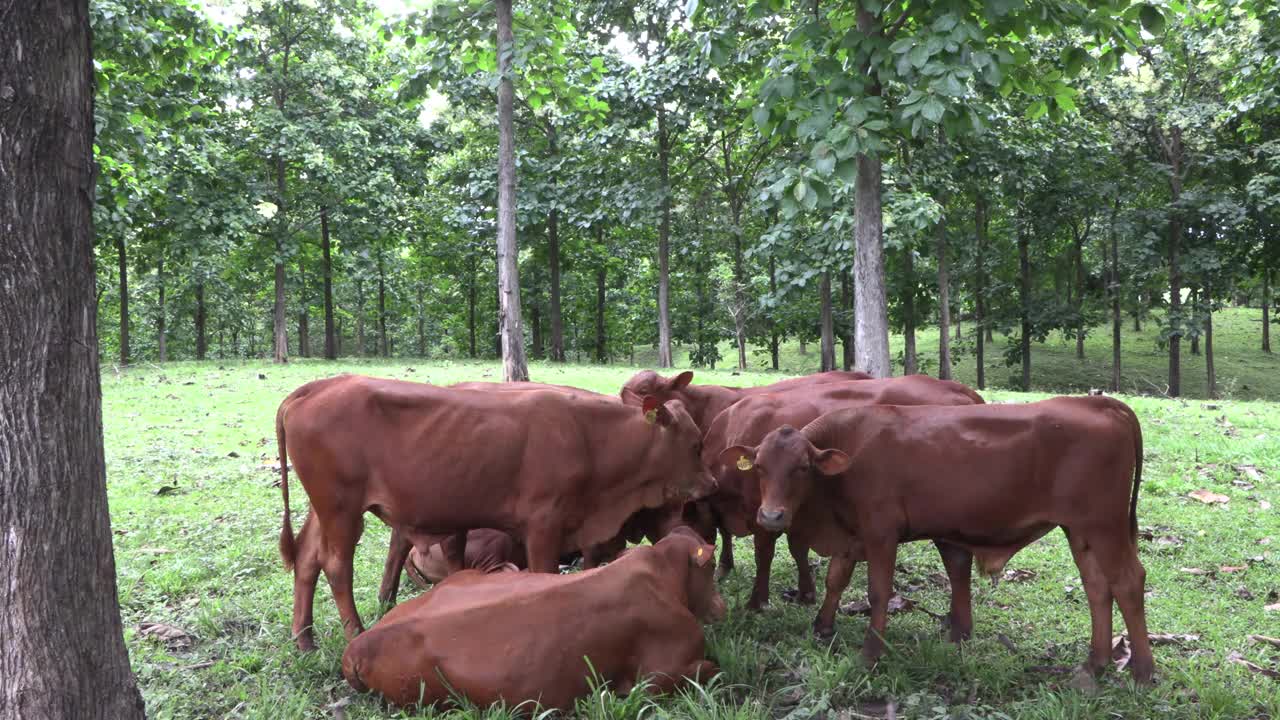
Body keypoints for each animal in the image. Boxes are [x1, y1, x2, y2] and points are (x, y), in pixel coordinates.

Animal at [279, 371, 716, 648]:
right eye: (696, 444)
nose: (711, 485)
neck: (591, 437)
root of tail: (317, 387)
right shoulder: (543, 524)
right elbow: (544, 574)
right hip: (342, 509)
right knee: (336, 565)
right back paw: (354, 633)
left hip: (325, 509)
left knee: (307, 559)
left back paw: (304, 638)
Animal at [340, 525, 727, 707]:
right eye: (709, 568)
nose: (721, 606)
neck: (661, 574)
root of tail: (359, 644)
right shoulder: (660, 674)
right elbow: (713, 668)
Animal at [701, 371, 977, 635]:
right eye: (758, 466)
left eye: (804, 468)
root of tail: (960, 389)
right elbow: (791, 547)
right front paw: (804, 592)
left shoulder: (767, 516)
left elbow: (765, 554)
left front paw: (757, 601)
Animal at [721, 394, 1152, 681]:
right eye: (759, 467)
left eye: (801, 467)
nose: (771, 515)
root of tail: (1100, 403)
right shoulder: (853, 533)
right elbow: (835, 579)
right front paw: (823, 626)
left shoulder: (880, 532)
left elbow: (878, 592)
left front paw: (870, 653)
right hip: (1081, 531)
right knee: (1098, 587)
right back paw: (1095, 664)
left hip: (1105, 526)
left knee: (1128, 583)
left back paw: (1143, 670)